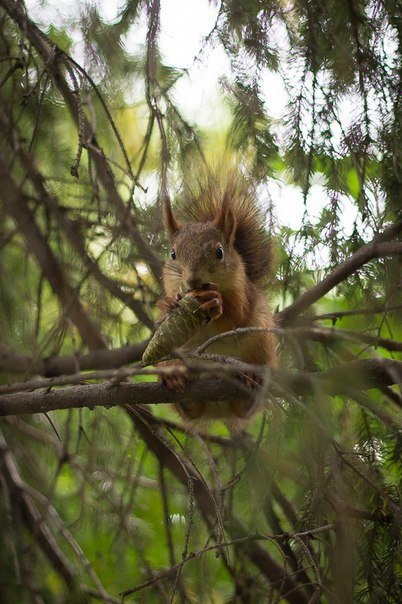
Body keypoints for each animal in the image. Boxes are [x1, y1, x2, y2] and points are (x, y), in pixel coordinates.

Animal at [157, 170, 276, 424]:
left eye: (219, 252)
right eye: (172, 254)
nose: (193, 280)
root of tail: (217, 410)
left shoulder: (243, 293)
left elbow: (236, 315)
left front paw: (216, 302)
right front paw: (168, 303)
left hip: (261, 344)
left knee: (245, 408)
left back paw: (252, 380)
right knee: (190, 409)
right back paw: (175, 380)